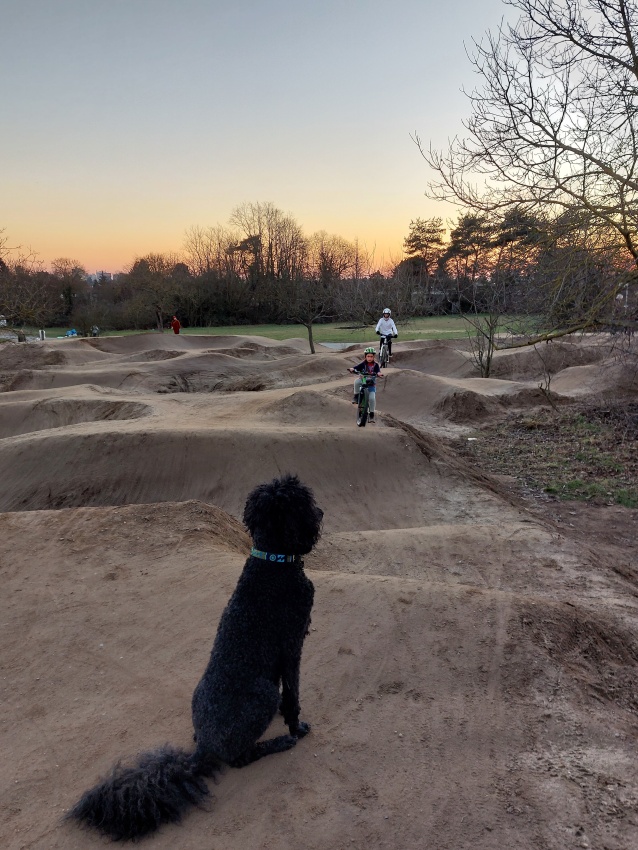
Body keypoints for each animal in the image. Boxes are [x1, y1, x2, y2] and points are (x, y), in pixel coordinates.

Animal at [67, 474, 322, 840]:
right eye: (303, 502)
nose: (321, 513)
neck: (271, 561)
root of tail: (203, 750)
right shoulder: (292, 645)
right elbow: (292, 697)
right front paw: (296, 727)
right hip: (261, 694)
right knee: (242, 756)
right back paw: (277, 743)